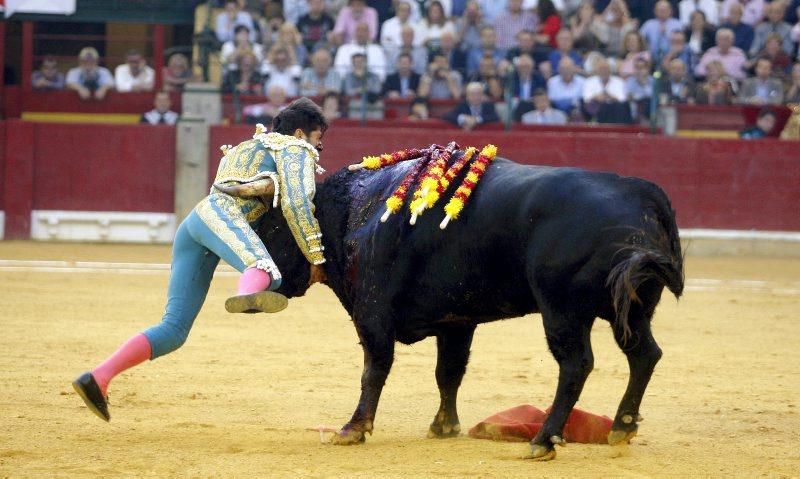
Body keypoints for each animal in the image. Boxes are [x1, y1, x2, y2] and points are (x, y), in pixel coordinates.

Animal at [256, 156, 680, 460]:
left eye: (271, 226)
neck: (358, 211)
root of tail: (640, 192)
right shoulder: (456, 322)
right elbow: (449, 373)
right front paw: (444, 426)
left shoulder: (373, 314)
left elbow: (373, 371)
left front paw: (353, 429)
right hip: (630, 309)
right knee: (645, 355)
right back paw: (622, 427)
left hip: (562, 310)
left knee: (577, 364)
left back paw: (544, 440)